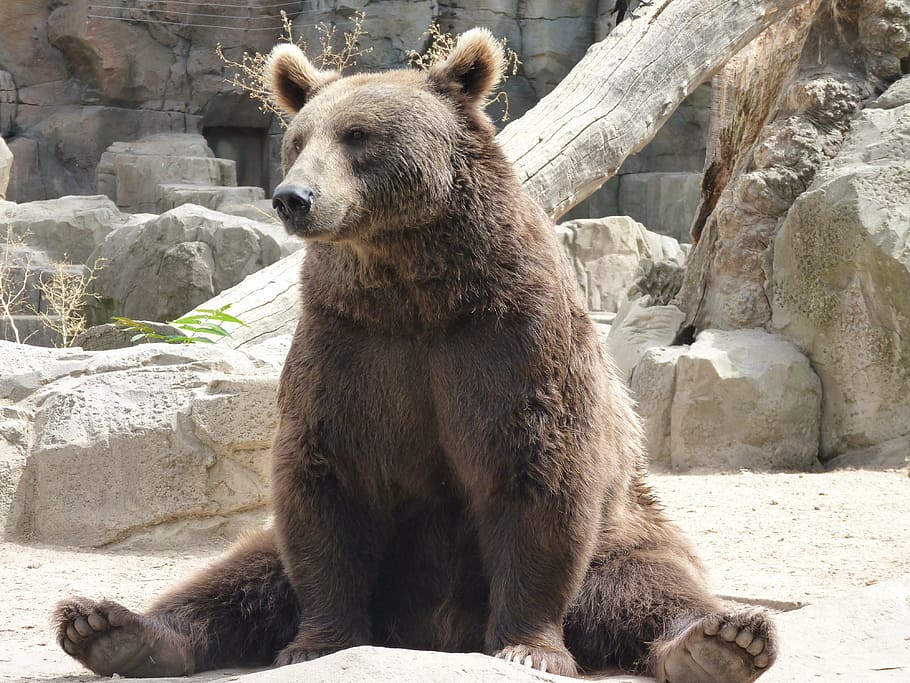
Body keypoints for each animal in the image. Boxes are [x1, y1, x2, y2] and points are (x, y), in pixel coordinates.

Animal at [54, 29, 777, 683]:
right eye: (298, 139)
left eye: (358, 135)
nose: (293, 197)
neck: (415, 292)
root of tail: (433, 633)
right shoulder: (349, 347)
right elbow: (323, 486)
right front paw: (316, 644)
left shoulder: (509, 341)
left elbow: (538, 472)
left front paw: (528, 646)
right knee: (240, 573)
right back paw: (111, 627)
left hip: (626, 530)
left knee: (651, 586)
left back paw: (722, 640)